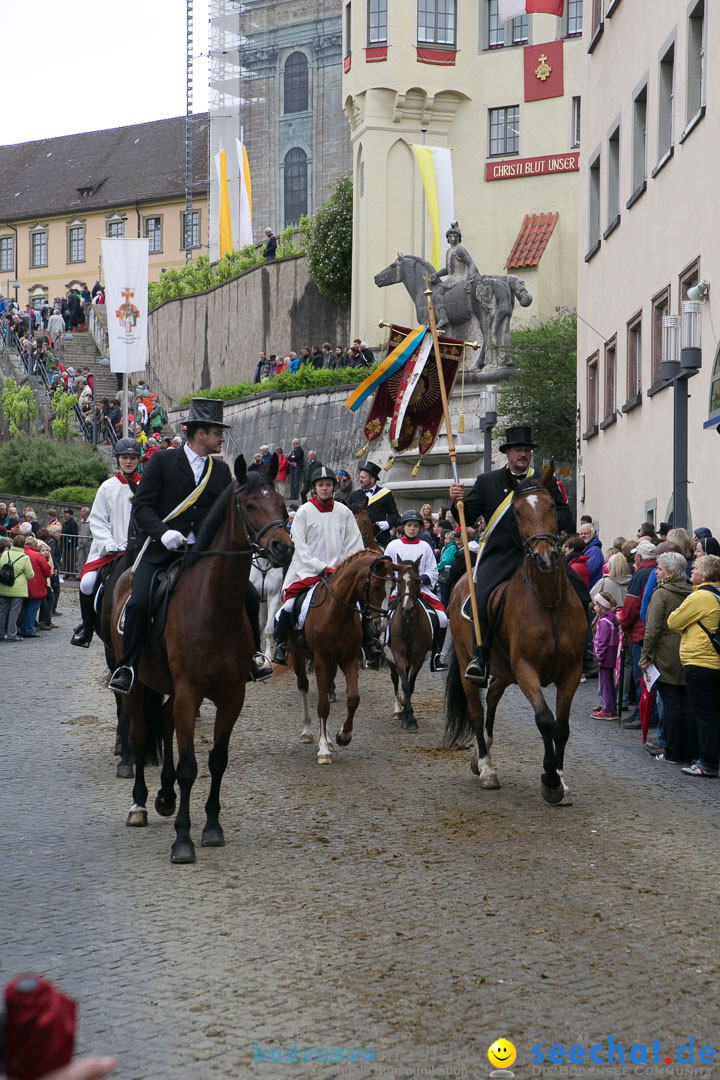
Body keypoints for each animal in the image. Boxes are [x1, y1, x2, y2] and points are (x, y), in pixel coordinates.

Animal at [107, 460, 293, 864]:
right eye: (250, 504)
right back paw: (140, 805)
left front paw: (211, 828)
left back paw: (165, 796)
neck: (213, 606)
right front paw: (183, 840)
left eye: (283, 505)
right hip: (137, 685)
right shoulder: (190, 691)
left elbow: (216, 761)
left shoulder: (231, 695)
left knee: (163, 723)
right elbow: (190, 767)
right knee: (140, 733)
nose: (283, 548)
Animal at [289, 552, 395, 764]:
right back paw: (307, 732)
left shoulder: (349, 659)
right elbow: (322, 706)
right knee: (303, 686)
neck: (336, 613)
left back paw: (329, 739)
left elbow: (353, 699)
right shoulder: (321, 660)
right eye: (376, 587)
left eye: (392, 588)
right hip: (298, 656)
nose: (380, 625)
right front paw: (323, 750)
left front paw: (342, 736)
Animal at [388, 557, 433, 734]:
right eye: (399, 580)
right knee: (395, 679)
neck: (408, 624)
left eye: (418, 580)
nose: (407, 609)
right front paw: (408, 717)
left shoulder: (418, 657)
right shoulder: (398, 655)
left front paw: (410, 716)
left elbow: (411, 685)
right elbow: (405, 685)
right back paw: (397, 710)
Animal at [442, 468, 587, 807]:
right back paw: (486, 768)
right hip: (471, 663)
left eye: (551, 505)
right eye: (517, 512)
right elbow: (545, 719)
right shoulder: (525, 668)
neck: (548, 600)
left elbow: (561, 727)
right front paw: (549, 780)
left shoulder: (571, 671)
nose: (546, 558)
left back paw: (482, 755)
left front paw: (561, 781)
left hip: (504, 668)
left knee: (493, 696)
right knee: (477, 709)